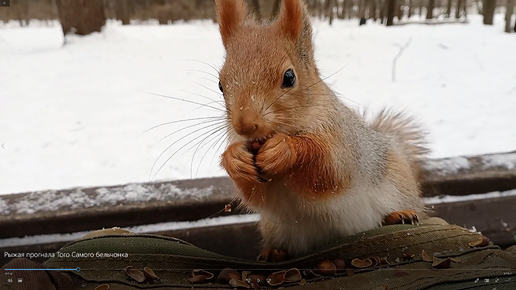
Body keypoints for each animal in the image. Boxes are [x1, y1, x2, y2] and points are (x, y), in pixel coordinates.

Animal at [214, 0, 428, 260]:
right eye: (220, 84)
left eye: (289, 77)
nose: (245, 125)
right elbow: (256, 197)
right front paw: (235, 159)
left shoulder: (343, 142)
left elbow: (328, 169)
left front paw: (285, 149)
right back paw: (274, 252)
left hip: (396, 185)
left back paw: (399, 215)